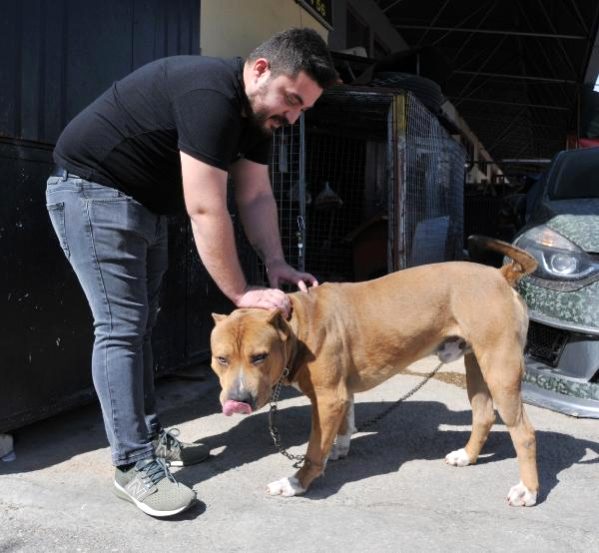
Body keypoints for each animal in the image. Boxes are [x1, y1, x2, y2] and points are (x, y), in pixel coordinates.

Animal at [213, 237, 540, 504]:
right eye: (221, 359)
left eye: (260, 357)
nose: (238, 400)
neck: (297, 328)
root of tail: (500, 275)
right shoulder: (341, 395)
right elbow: (342, 426)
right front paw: (338, 449)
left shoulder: (328, 398)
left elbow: (313, 451)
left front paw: (296, 483)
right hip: (477, 367)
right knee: (483, 415)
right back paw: (467, 456)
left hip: (500, 370)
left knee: (524, 433)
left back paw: (528, 490)